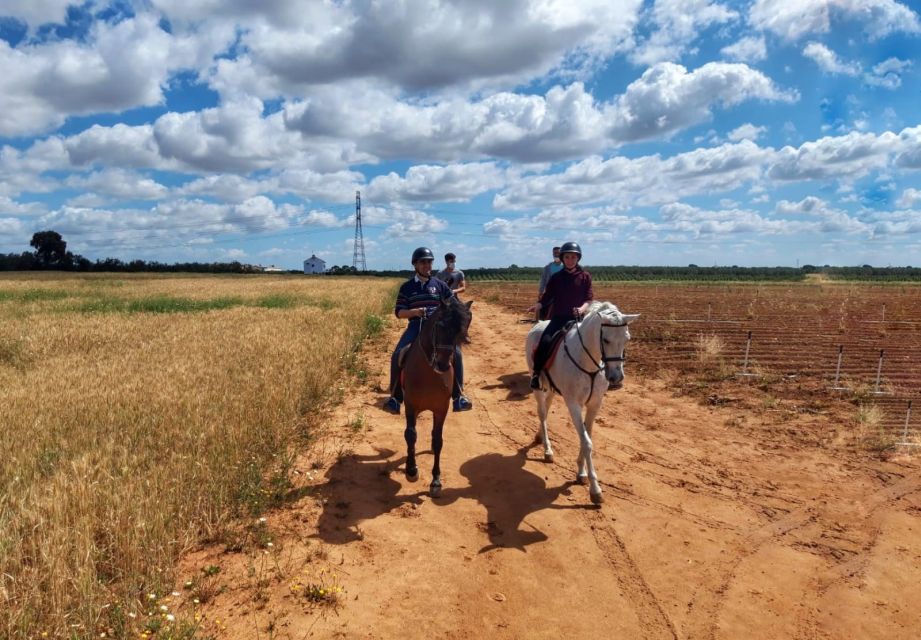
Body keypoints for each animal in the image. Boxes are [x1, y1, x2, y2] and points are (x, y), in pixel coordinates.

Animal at [400, 298, 470, 498]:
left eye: (462, 330)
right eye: (440, 325)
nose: (443, 365)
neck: (429, 374)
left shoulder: (441, 408)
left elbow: (438, 441)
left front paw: (436, 481)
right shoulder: (410, 406)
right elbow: (411, 435)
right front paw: (411, 471)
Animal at [524, 300, 640, 504]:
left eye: (627, 338)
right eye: (606, 340)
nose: (616, 378)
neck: (588, 362)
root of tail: (538, 324)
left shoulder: (595, 404)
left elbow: (587, 436)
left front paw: (581, 472)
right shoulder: (574, 405)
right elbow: (587, 442)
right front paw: (595, 489)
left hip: (552, 388)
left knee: (546, 407)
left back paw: (539, 437)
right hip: (537, 384)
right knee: (542, 413)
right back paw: (547, 450)